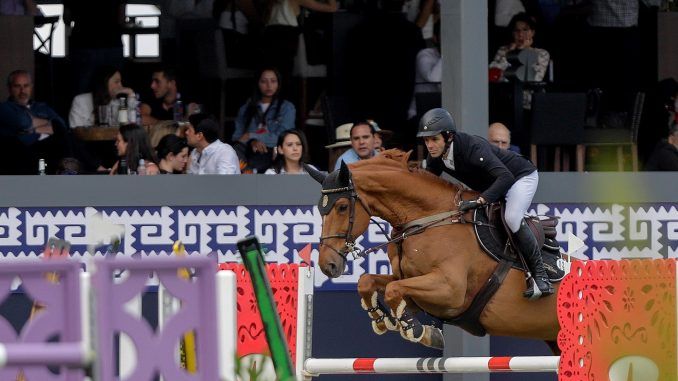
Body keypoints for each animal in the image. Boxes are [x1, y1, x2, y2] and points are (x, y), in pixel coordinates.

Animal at [308, 149, 564, 350]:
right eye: (320, 210)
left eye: (342, 207)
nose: (327, 265)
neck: (427, 219)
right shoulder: (409, 279)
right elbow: (368, 282)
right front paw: (381, 318)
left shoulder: (450, 289)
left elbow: (393, 290)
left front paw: (419, 331)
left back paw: (541, 283)